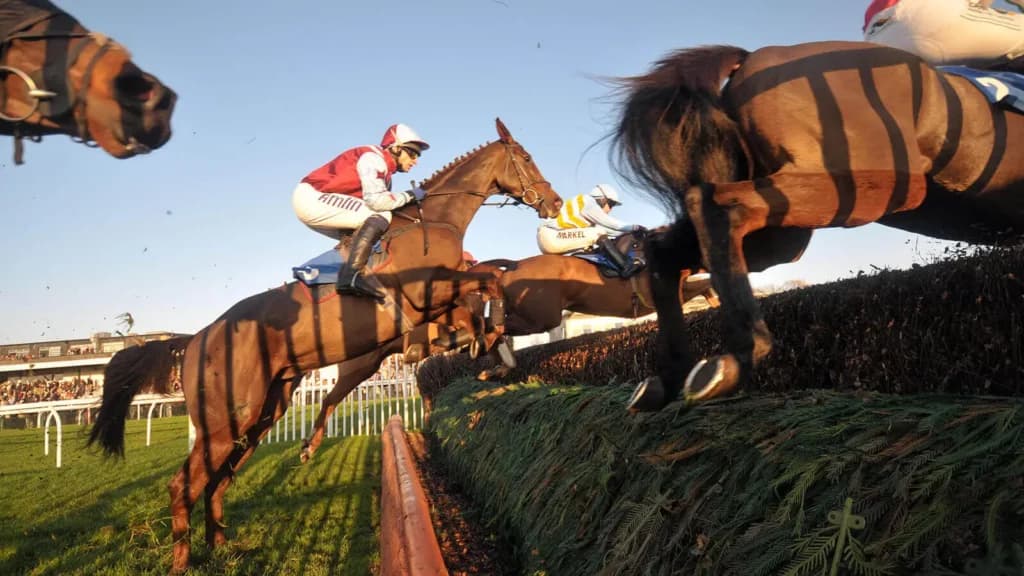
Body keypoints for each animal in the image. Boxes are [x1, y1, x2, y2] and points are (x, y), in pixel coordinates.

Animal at [87, 118, 562, 573]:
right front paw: (486, 339)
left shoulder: (441, 298)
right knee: (182, 484)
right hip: (226, 420)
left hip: (262, 414)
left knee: (218, 480)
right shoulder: (428, 292)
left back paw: (221, 545)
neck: (434, 220)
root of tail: (198, 336)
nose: (555, 202)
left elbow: (482, 287)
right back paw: (183, 561)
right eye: (526, 156)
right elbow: (487, 279)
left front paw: (489, 346)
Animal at [610, 41, 1024, 411]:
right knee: (714, 206)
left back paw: (669, 377)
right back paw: (741, 355)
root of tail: (751, 58)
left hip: (782, 231)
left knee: (667, 250)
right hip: (874, 187)